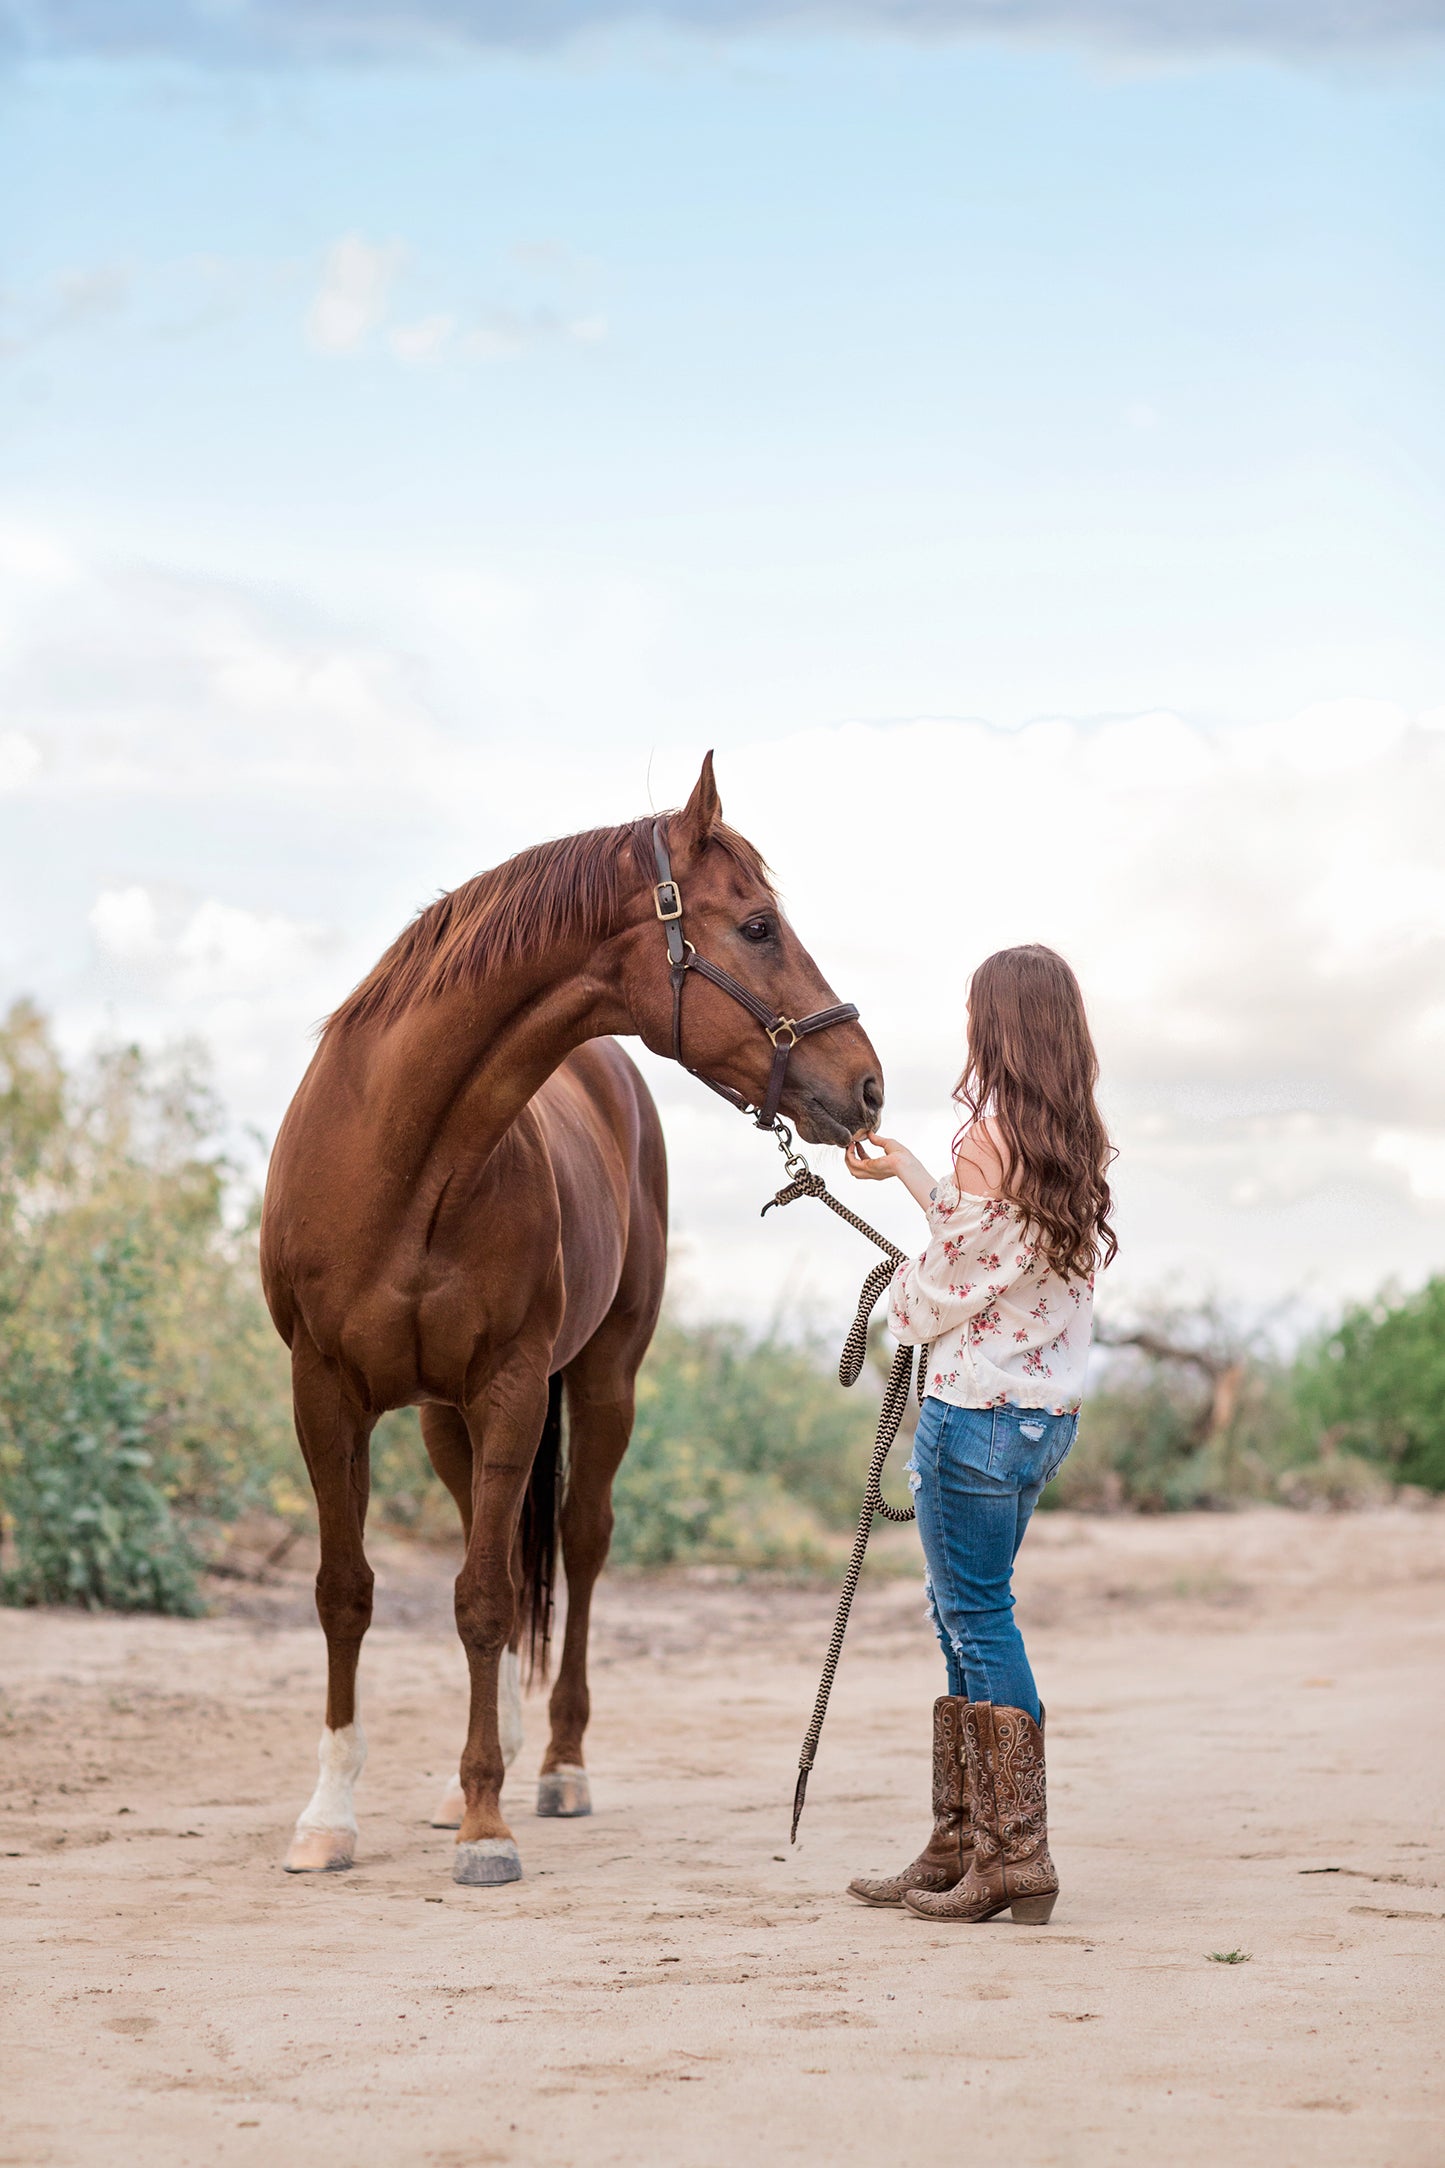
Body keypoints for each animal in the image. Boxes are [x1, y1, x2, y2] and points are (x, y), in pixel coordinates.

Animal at [259, 754, 883, 1890]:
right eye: (759, 925)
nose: (865, 1084)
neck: (401, 1157)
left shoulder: (511, 1387)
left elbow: (482, 1597)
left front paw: (487, 1826)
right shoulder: (324, 1393)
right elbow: (347, 1592)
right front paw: (330, 1817)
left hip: (598, 1384)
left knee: (577, 1549)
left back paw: (553, 1769)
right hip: (443, 1421)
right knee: (504, 1563)